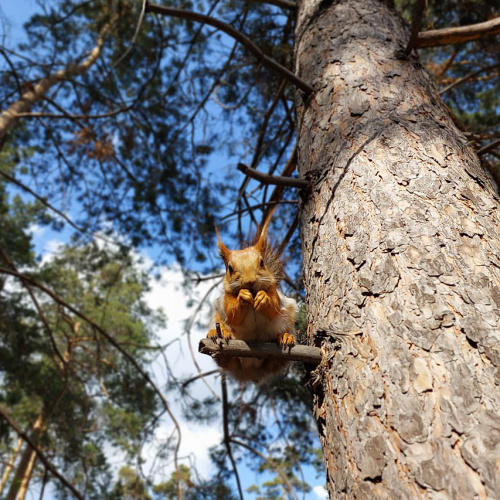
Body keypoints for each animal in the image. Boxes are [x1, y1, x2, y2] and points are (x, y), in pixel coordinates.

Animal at [207, 212, 296, 382]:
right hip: (218, 319)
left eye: (262, 263)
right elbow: (232, 314)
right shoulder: (226, 298)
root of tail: (250, 371)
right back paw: (219, 333)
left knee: (275, 361)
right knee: (225, 358)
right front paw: (242, 296)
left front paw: (263, 298)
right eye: (229, 268)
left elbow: (274, 307)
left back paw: (285, 337)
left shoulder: (274, 291)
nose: (249, 282)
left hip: (288, 316)